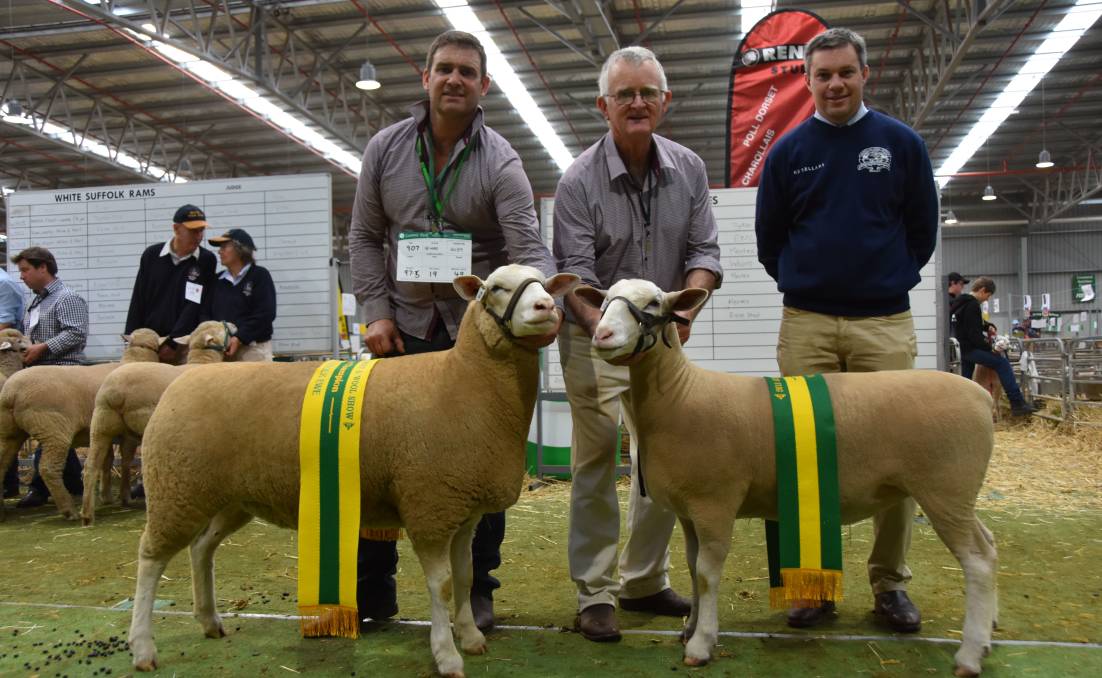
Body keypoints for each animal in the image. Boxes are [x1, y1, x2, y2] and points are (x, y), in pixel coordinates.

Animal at [0, 328, 160, 520]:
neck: (133, 362)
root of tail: (11, 392)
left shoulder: (103, 431)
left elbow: (106, 461)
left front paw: (106, 496)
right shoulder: (124, 434)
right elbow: (125, 462)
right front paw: (125, 496)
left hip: (11, 432)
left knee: (2, 463)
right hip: (53, 430)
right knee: (48, 468)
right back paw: (69, 510)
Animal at [80, 321, 236, 522]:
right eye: (220, 327)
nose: (233, 325)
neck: (202, 363)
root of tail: (117, 392)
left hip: (102, 423)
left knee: (91, 466)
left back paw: (88, 514)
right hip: (144, 422)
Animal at [123, 265, 577, 678]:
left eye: (545, 282)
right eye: (496, 288)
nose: (546, 307)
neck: (463, 380)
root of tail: (182, 381)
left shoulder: (462, 511)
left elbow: (466, 577)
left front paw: (470, 637)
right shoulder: (429, 506)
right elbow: (444, 585)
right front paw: (447, 655)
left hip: (229, 496)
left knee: (202, 548)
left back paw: (209, 620)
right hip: (176, 487)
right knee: (149, 558)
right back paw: (143, 647)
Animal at [581, 278, 1005, 674]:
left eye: (654, 303)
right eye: (604, 302)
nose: (602, 336)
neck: (679, 395)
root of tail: (981, 395)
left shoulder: (715, 502)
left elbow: (706, 573)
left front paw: (701, 643)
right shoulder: (689, 511)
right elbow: (691, 565)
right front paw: (690, 628)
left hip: (946, 489)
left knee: (978, 559)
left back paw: (969, 654)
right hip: (957, 495)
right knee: (989, 543)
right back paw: (986, 636)